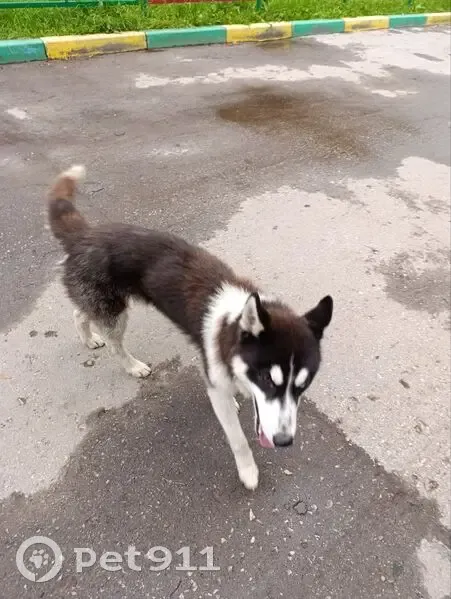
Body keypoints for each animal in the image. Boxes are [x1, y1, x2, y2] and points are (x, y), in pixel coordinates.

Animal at [47, 165, 333, 490]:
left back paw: (89, 338)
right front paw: (248, 471)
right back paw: (131, 364)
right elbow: (237, 440)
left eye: (302, 386)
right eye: (268, 380)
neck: (232, 324)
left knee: (79, 313)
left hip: (102, 305)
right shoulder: (217, 385)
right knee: (114, 343)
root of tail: (85, 234)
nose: (284, 441)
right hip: (115, 314)